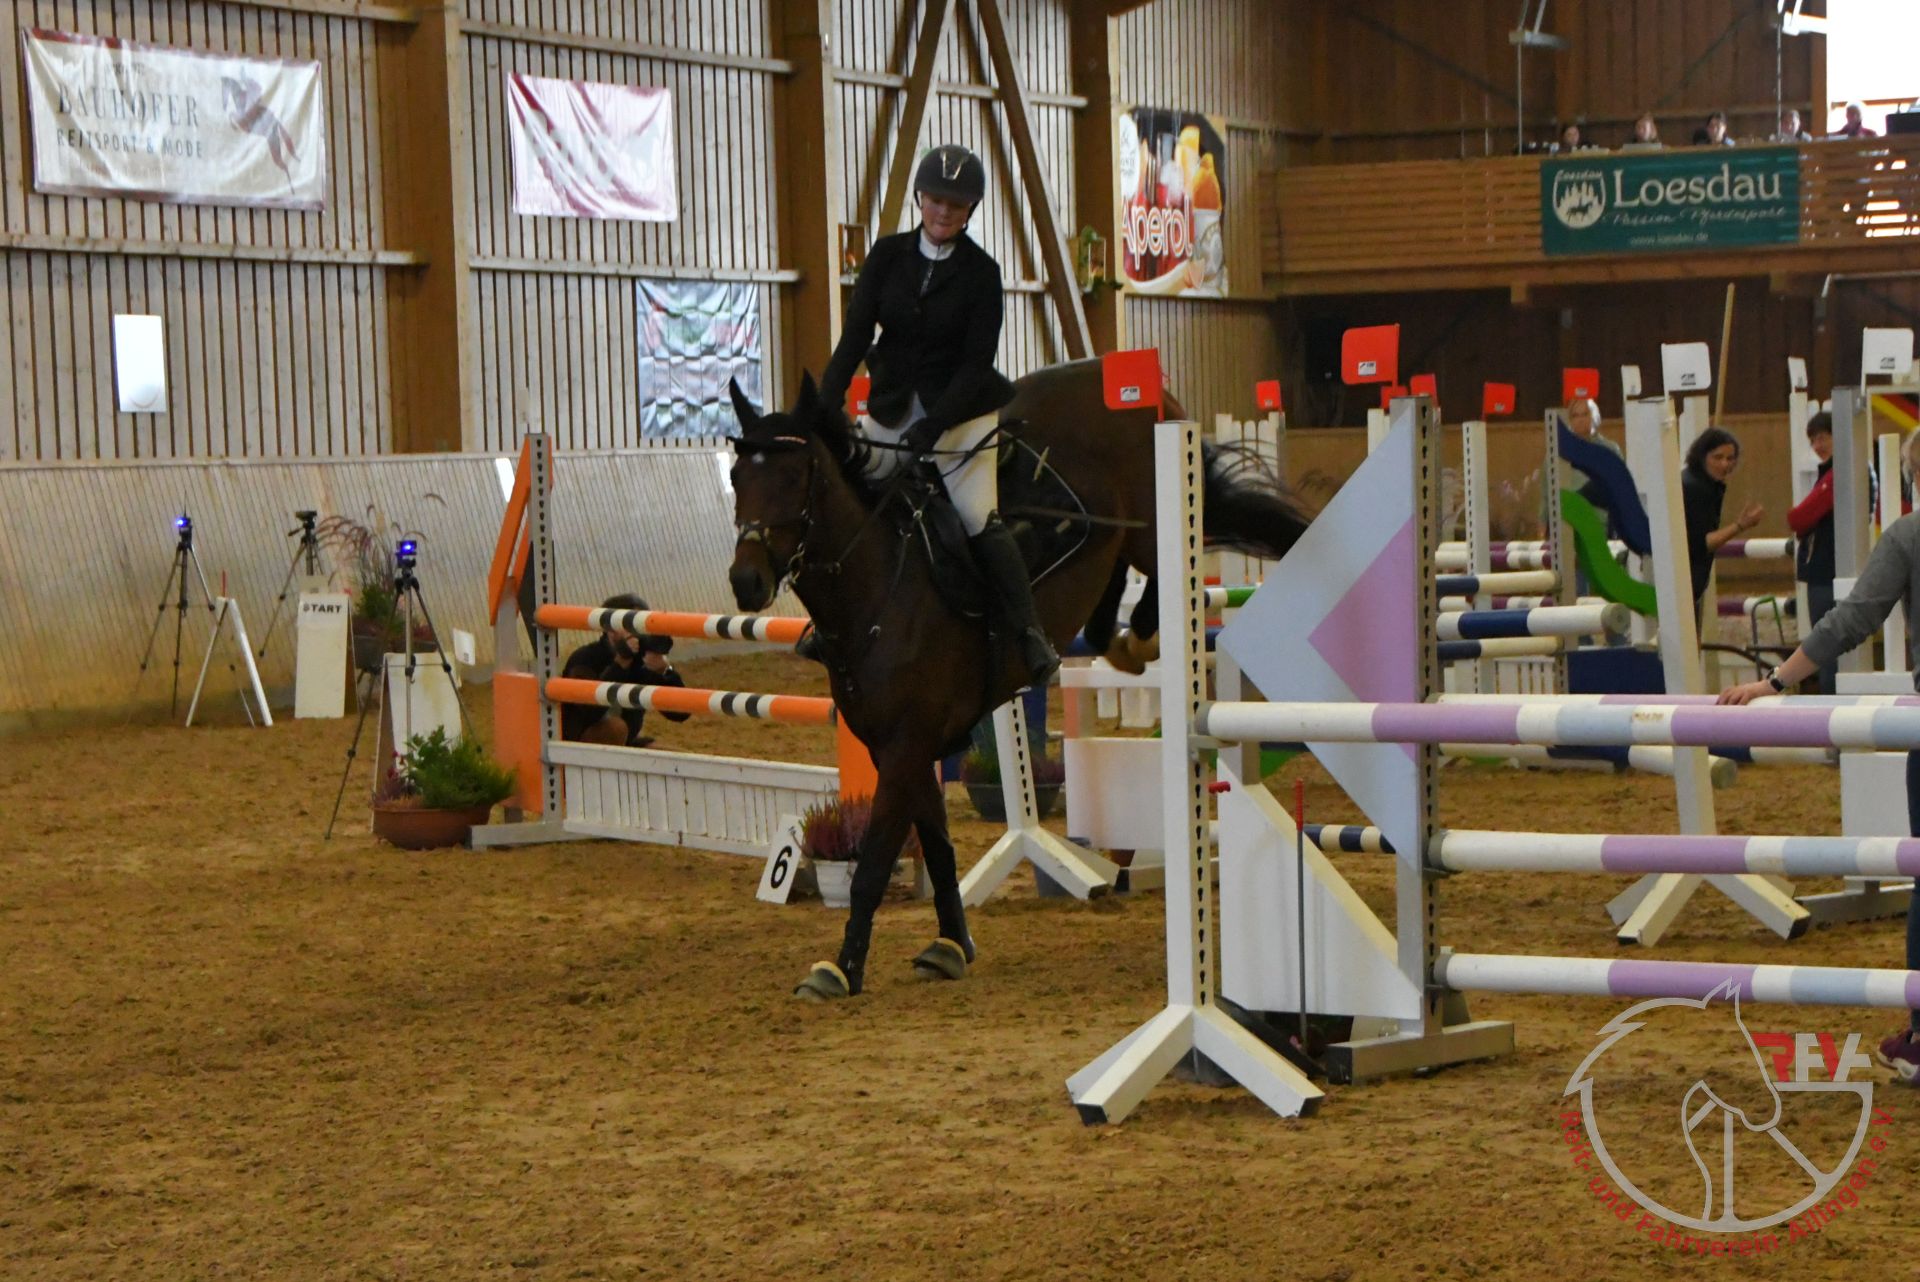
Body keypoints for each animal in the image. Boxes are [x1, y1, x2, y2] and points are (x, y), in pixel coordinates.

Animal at [725, 359, 1309, 1000]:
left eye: (792, 476)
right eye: (736, 475)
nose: (746, 583)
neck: (880, 587)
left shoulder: (906, 745)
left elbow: (874, 861)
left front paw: (841, 968)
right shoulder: (897, 747)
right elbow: (939, 846)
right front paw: (952, 944)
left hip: (1151, 522)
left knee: (1165, 564)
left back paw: (1138, 638)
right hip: (1111, 547)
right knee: (1110, 591)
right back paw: (1118, 642)